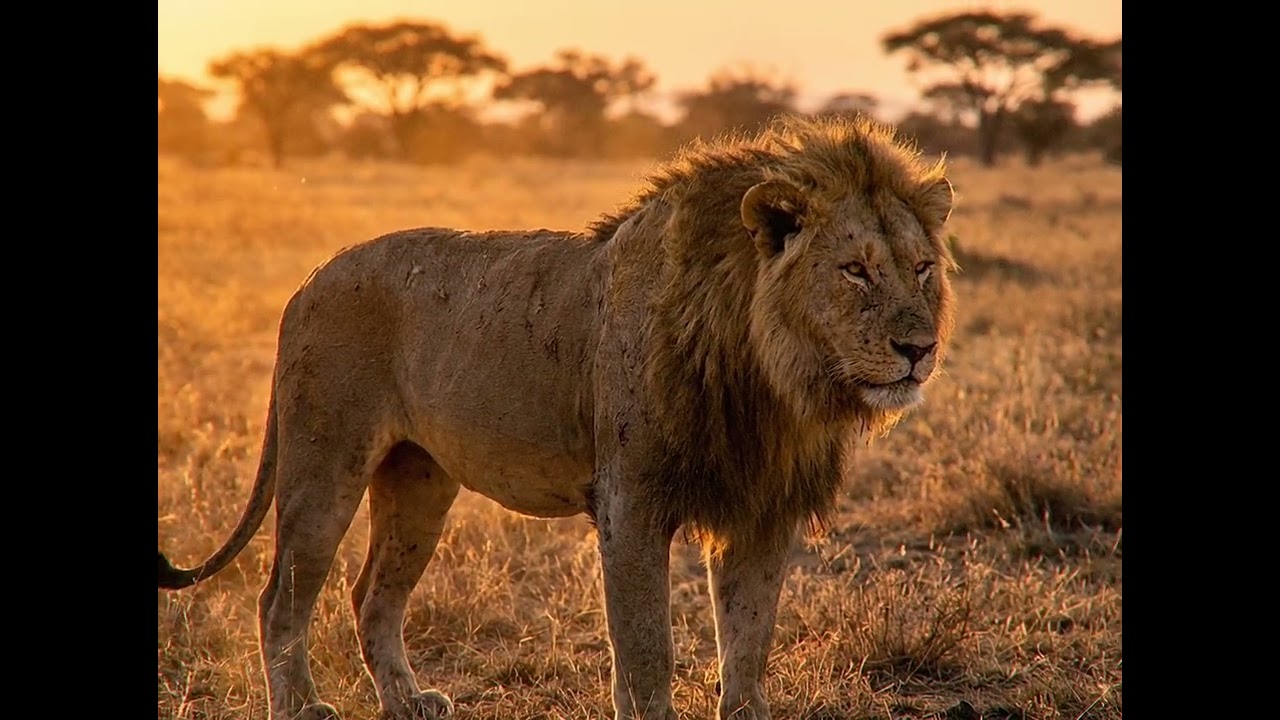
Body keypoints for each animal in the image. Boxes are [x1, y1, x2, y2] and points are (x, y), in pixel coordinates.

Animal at [158, 114, 956, 720]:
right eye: (856, 271)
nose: (919, 349)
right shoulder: (631, 502)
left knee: (372, 596)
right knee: (281, 598)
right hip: (325, 464)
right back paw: (301, 705)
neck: (773, 380)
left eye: (921, 269)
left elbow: (748, 640)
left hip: (419, 482)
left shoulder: (762, 508)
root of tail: (308, 279)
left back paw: (409, 701)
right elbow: (646, 651)